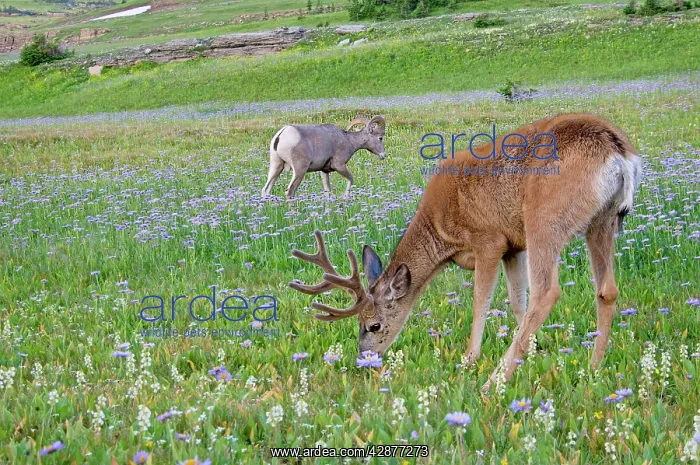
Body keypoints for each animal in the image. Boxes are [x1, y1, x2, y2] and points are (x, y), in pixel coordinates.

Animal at [288, 113, 642, 391]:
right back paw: (593, 367)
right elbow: (517, 301)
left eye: (373, 325)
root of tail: (619, 152)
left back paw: (493, 383)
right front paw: (533, 353)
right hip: (602, 220)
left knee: (547, 292)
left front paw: (470, 359)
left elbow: (480, 302)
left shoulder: (489, 241)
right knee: (606, 289)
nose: (365, 359)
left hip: (545, 217)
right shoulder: (513, 247)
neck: (441, 234)